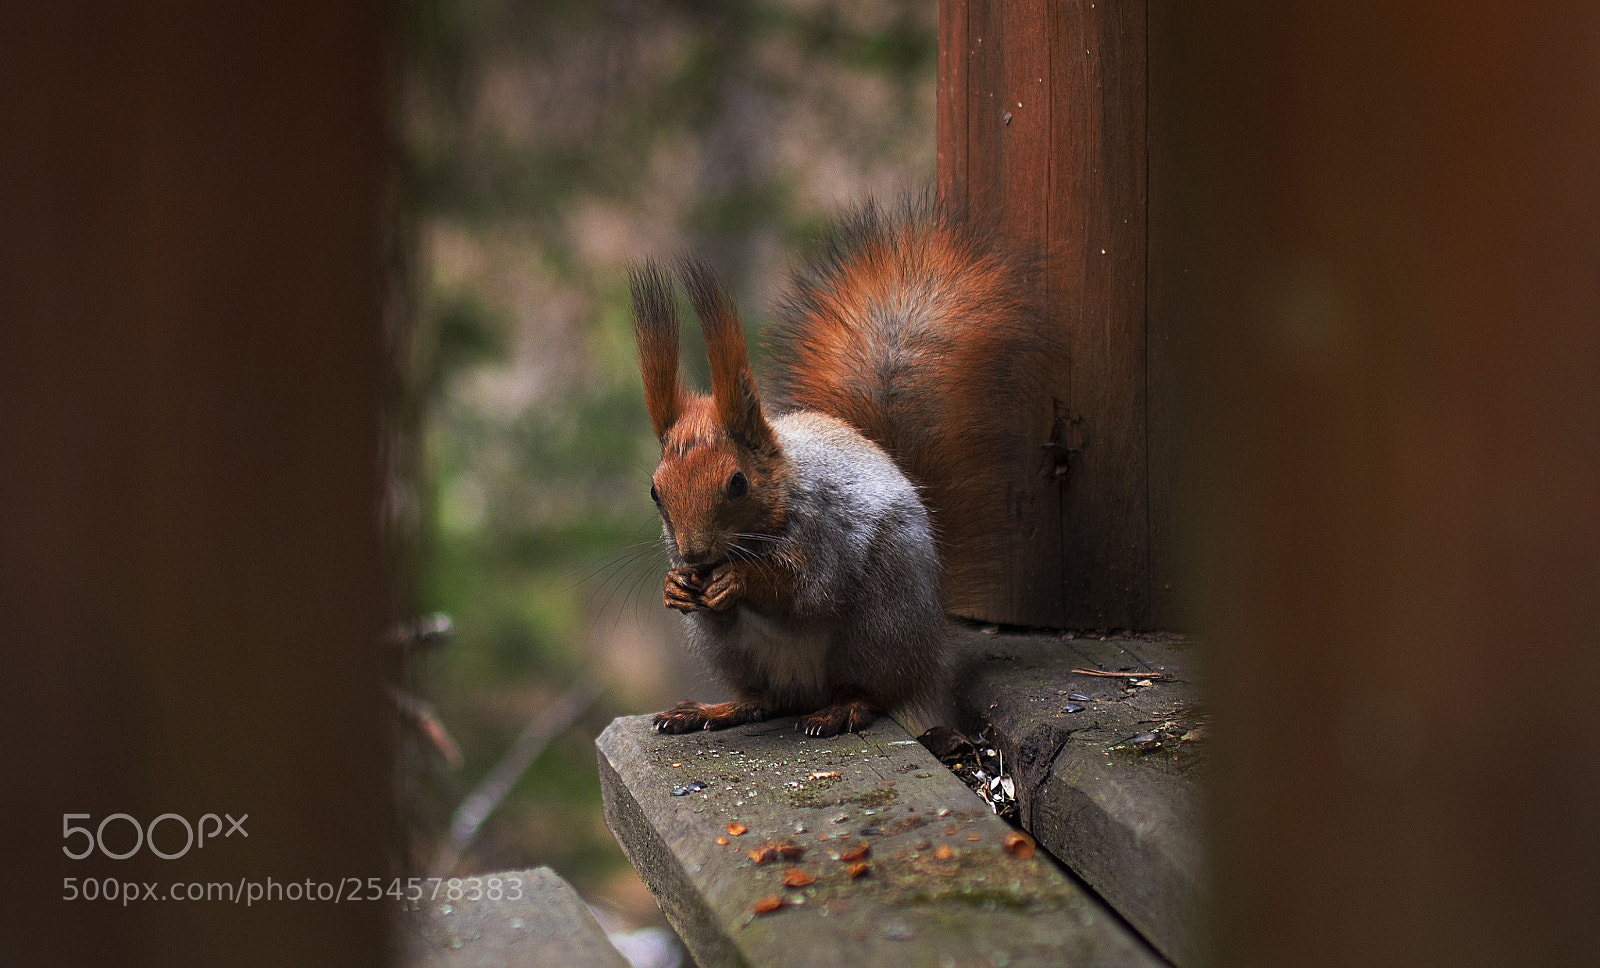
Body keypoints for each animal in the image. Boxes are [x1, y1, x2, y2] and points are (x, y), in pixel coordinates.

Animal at [630, 196, 1052, 738]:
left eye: (738, 483)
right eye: (656, 492)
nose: (694, 555)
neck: (784, 490)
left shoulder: (825, 532)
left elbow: (805, 589)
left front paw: (738, 581)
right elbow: (714, 611)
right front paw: (676, 587)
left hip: (878, 626)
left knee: (873, 692)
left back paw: (841, 709)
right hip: (735, 657)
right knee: (767, 699)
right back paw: (714, 710)